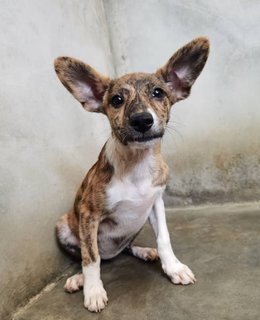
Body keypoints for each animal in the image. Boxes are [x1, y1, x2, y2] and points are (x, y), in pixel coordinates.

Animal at [54, 36, 209, 312]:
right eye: (116, 100)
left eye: (158, 93)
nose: (141, 120)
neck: (137, 163)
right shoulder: (88, 214)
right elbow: (90, 257)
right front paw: (93, 290)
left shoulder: (156, 203)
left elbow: (164, 238)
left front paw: (173, 268)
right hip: (63, 224)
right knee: (91, 255)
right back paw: (78, 279)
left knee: (125, 247)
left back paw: (144, 252)